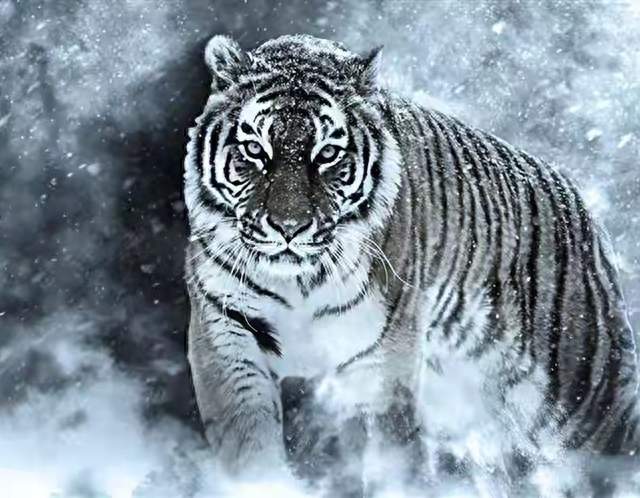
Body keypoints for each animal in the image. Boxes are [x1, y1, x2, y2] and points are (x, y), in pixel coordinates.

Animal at [183, 34, 639, 491]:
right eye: (254, 150)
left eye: (327, 153)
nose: (289, 227)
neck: (299, 282)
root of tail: (577, 198)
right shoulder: (227, 337)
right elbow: (248, 446)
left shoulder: (381, 361)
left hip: (584, 398)